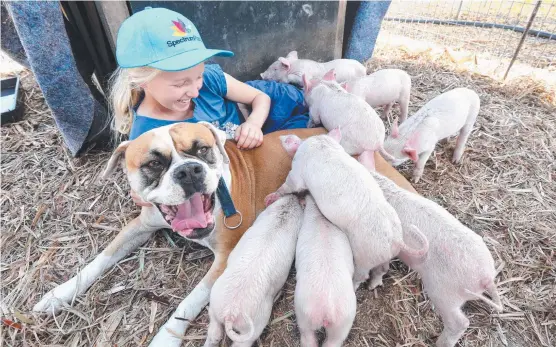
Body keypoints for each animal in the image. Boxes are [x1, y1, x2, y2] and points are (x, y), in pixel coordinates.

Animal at [32, 121, 414, 346]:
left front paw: (167, 336)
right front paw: (58, 294)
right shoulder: (139, 227)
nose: (189, 170)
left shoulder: (226, 257)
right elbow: (101, 259)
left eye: (202, 149)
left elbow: (189, 301)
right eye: (154, 163)